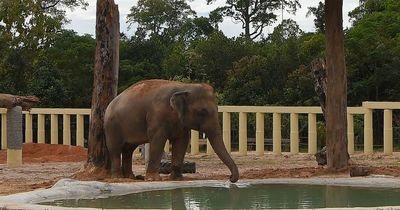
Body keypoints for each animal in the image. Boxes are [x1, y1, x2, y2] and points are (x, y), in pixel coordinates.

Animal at [104, 79, 239, 182]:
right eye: (202, 112)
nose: (230, 177)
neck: (184, 86)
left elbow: (182, 142)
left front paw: (177, 178)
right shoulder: (157, 116)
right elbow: (158, 141)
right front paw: (153, 179)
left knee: (128, 149)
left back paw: (130, 177)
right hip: (111, 126)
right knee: (115, 149)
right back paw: (118, 178)